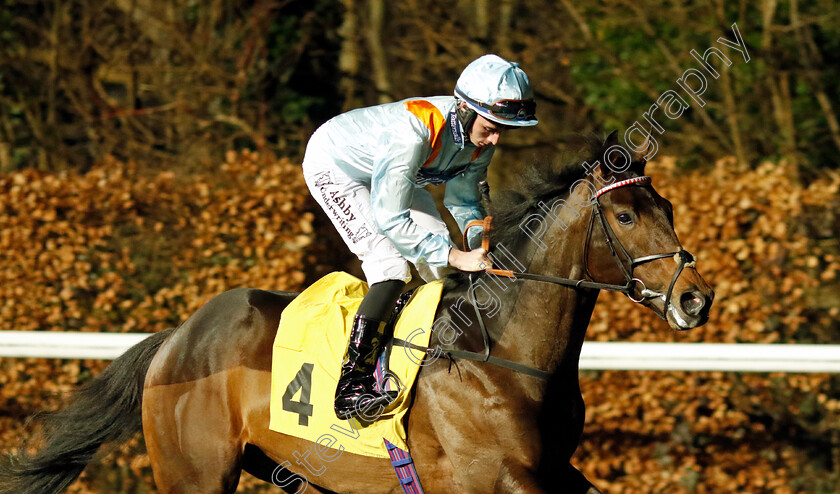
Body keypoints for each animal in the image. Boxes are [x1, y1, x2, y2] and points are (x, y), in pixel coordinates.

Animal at [0, 133, 712, 492]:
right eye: (625, 216)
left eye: (669, 208)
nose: (695, 297)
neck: (507, 357)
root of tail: (178, 336)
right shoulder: (492, 479)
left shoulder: (554, 472)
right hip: (194, 474)